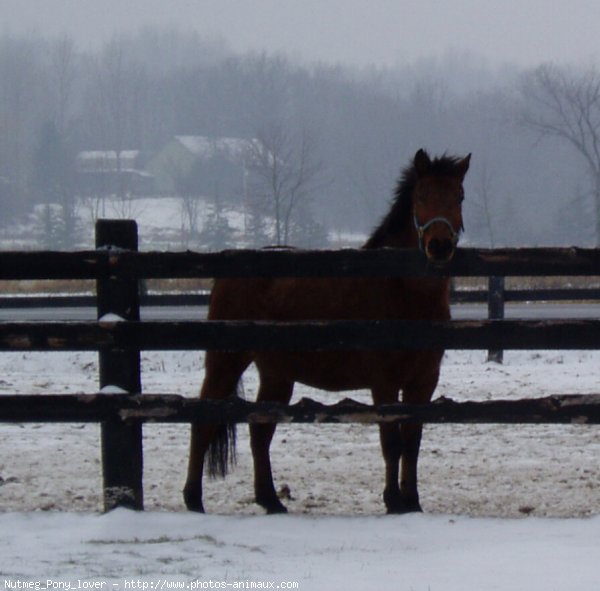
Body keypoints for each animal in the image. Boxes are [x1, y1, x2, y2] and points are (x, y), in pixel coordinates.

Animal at [183, 150, 468, 516]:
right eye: (421, 196)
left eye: (458, 196)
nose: (439, 246)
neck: (400, 290)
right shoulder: (384, 382)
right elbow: (391, 443)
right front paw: (394, 502)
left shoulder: (423, 382)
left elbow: (412, 442)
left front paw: (413, 503)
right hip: (225, 362)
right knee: (202, 423)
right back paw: (194, 499)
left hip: (276, 374)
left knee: (260, 429)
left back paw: (271, 500)